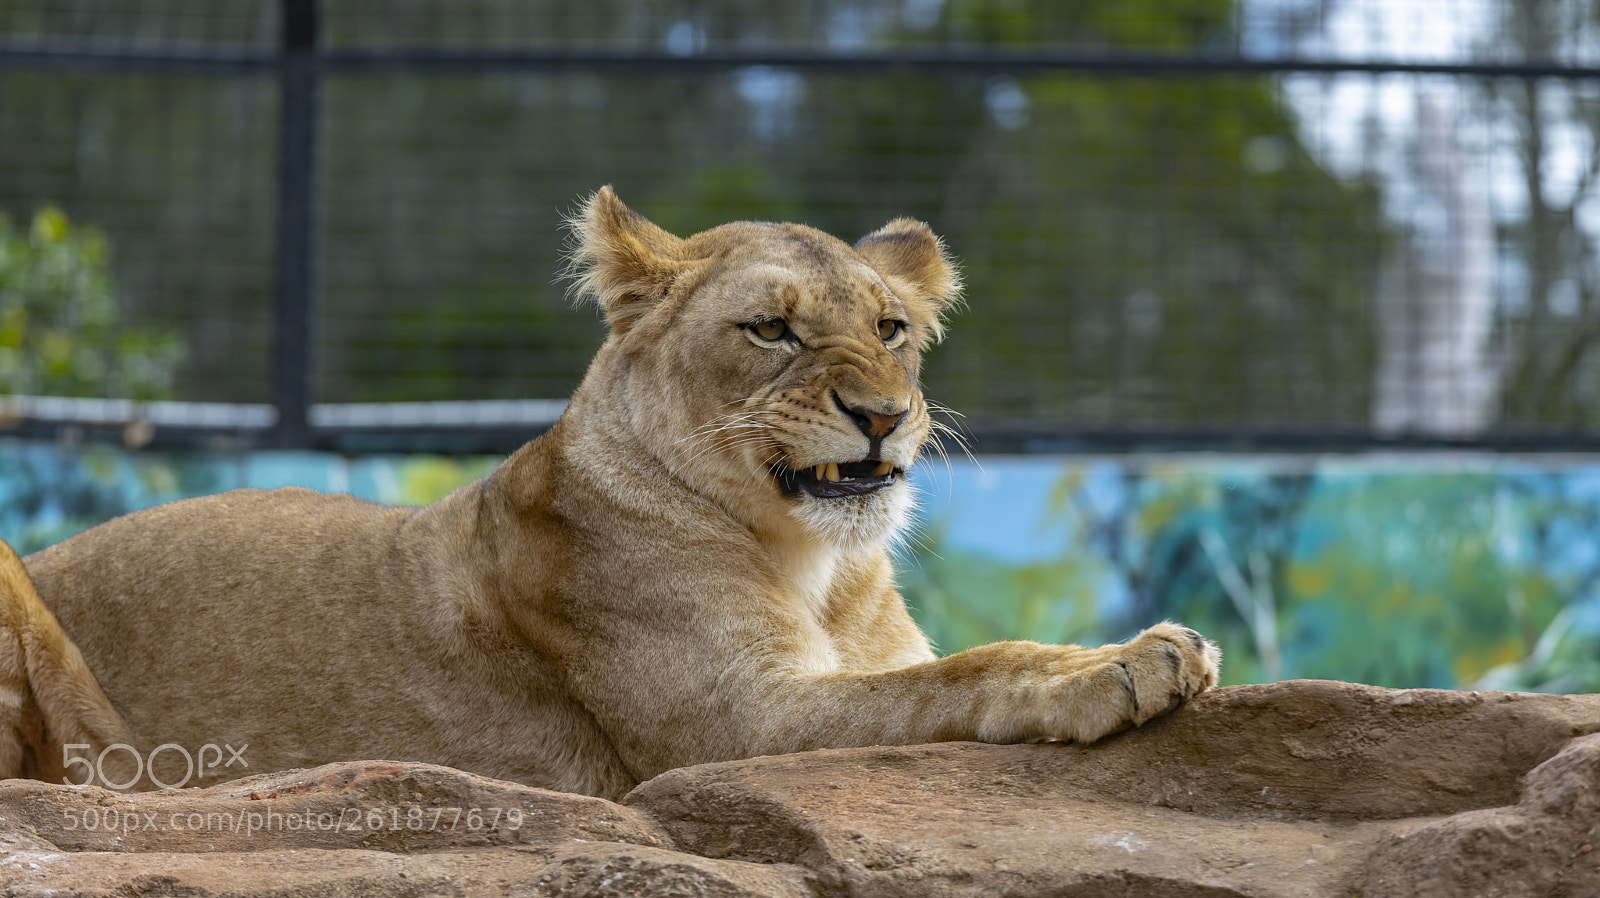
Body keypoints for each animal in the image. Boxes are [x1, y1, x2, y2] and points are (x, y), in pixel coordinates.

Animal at [0, 187, 1219, 798]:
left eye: (890, 329)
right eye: (770, 330)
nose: (882, 415)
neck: (817, 562)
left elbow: (931, 667)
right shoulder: (730, 724)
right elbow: (962, 674)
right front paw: (1124, 663)